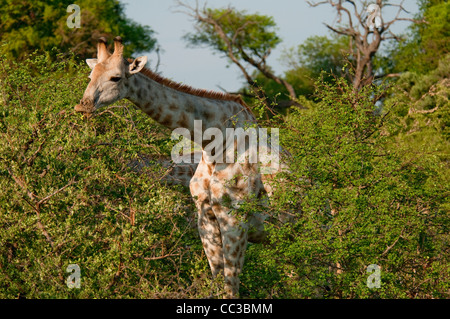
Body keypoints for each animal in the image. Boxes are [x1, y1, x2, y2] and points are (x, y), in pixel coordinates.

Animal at [75, 37, 284, 300]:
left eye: (116, 77)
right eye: (90, 74)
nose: (82, 107)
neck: (215, 143)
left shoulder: (234, 217)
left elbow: (230, 287)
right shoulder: (204, 216)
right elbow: (217, 281)